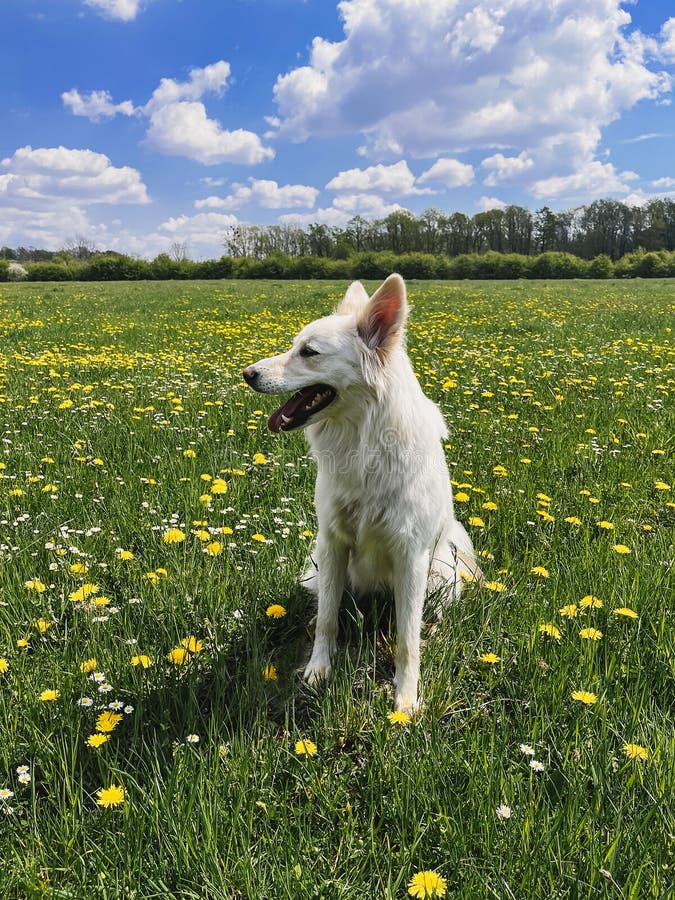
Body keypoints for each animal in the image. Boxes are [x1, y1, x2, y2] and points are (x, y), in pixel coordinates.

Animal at [243, 274, 480, 712]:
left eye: (309, 352)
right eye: (295, 344)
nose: (247, 373)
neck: (363, 441)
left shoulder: (411, 556)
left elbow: (407, 639)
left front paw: (406, 699)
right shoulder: (332, 542)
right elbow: (326, 619)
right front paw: (318, 670)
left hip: (441, 569)